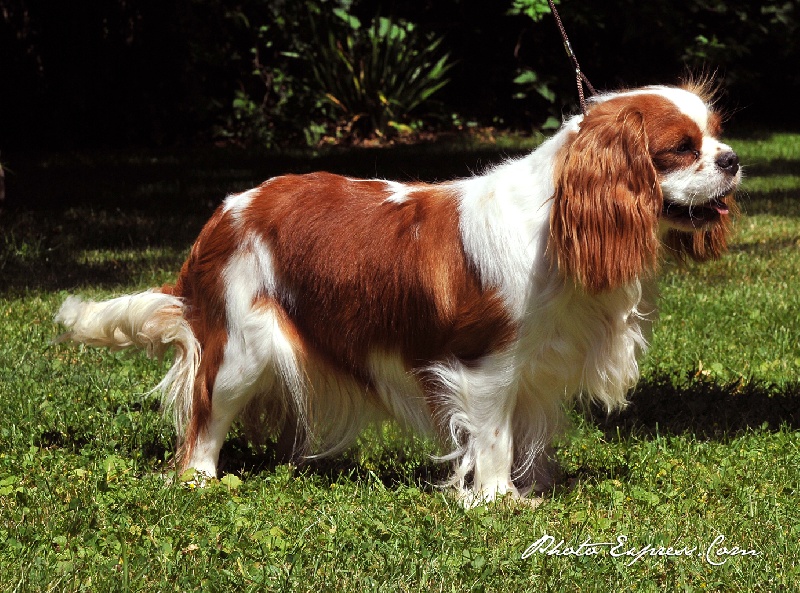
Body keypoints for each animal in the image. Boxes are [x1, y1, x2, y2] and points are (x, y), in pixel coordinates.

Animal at [57, 80, 736, 504]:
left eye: (717, 135)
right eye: (681, 149)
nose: (730, 159)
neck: (561, 218)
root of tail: (221, 215)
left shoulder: (539, 364)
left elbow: (527, 432)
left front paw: (532, 485)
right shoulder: (486, 363)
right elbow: (494, 434)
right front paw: (497, 500)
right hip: (242, 346)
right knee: (204, 417)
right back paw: (200, 478)